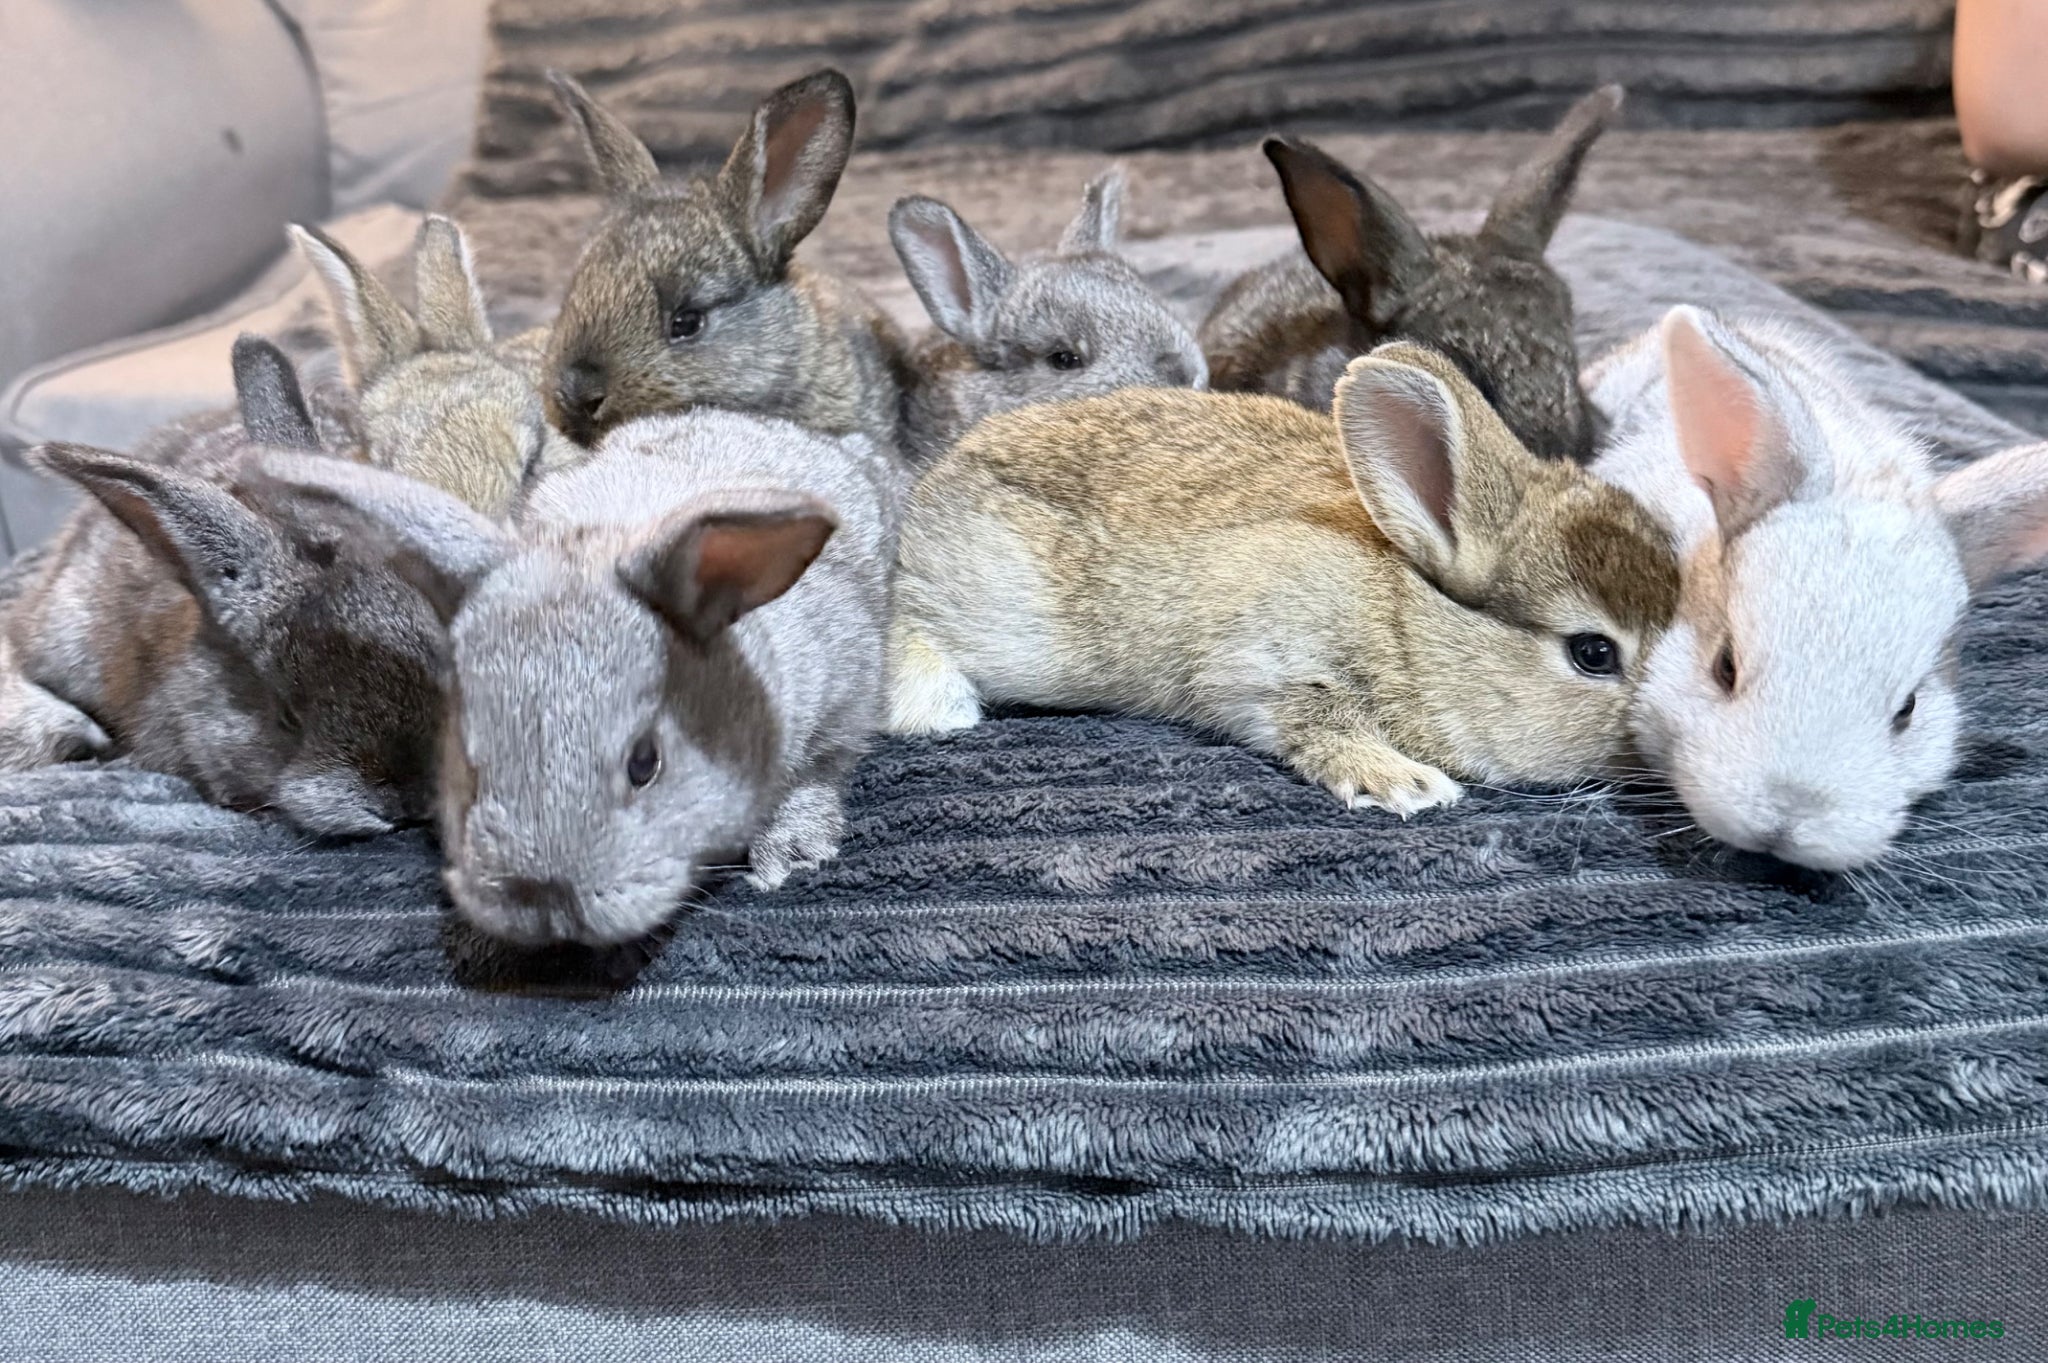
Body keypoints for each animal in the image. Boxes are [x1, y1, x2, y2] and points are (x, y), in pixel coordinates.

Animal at [254, 406, 899, 946]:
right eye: (468, 759)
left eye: (645, 763)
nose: (541, 897)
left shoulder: (843, 701)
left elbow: (816, 774)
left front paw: (790, 855)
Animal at [888, 342, 1681, 813]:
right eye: (1593, 653)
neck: (1409, 614)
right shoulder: (1262, 646)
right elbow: (1306, 716)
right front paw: (1405, 784)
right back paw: (936, 708)